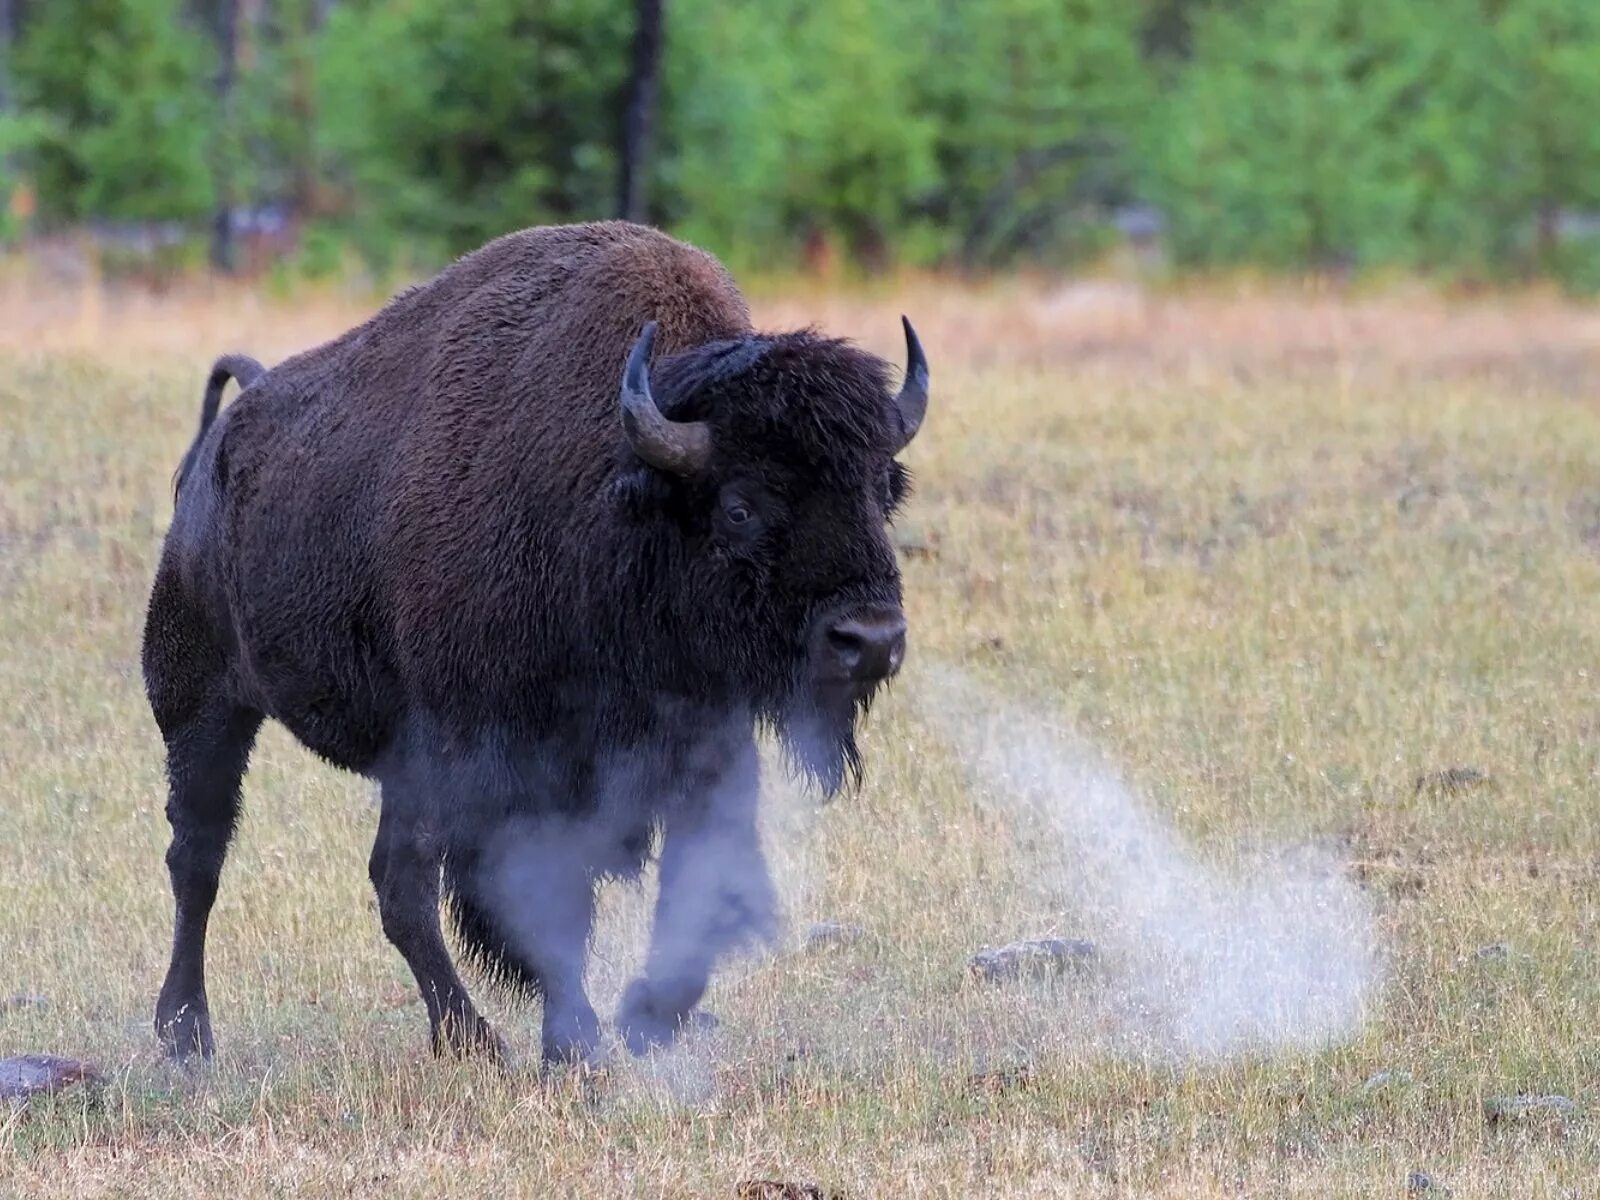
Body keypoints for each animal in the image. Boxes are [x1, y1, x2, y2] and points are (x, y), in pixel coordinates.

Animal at [147, 220, 934, 1068]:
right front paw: (578, 1042)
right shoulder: (515, 764)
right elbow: (547, 899)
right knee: (206, 859)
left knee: (389, 880)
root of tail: (218, 448)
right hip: (203, 705)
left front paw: (647, 1018)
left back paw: (462, 1037)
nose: (870, 640)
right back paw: (197, 1032)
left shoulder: (701, 742)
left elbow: (694, 881)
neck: (616, 496)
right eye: (740, 507)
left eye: (881, 490)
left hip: (392, 757)